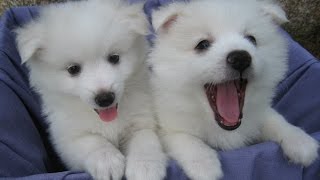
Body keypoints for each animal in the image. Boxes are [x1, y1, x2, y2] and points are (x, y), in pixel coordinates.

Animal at [15, 0, 168, 179]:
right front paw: (107, 161)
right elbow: (92, 141)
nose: (105, 98)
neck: (108, 120)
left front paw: (145, 166)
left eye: (114, 58)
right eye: (73, 69)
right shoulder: (67, 138)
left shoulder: (141, 120)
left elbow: (144, 139)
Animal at [149, 0, 318, 179]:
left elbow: (274, 119)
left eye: (252, 39)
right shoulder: (167, 126)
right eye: (202, 44)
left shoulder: (258, 113)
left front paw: (300, 141)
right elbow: (184, 138)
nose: (240, 58)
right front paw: (204, 165)